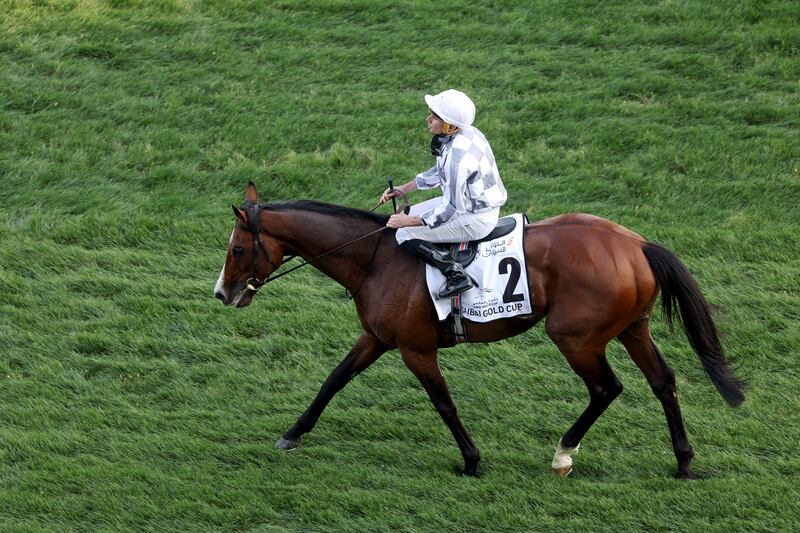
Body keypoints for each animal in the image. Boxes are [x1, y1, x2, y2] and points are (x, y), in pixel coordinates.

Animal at [212, 183, 744, 478]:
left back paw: (563, 455)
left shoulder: (415, 348)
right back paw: (683, 460)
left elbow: (443, 402)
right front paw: (293, 433)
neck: (378, 258)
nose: (222, 293)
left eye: (237, 249)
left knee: (606, 388)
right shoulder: (377, 338)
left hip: (575, 336)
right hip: (633, 328)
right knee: (663, 382)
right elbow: (334, 379)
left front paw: (471, 459)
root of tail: (636, 243)